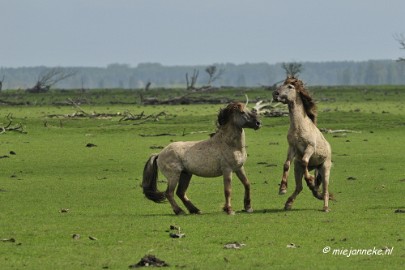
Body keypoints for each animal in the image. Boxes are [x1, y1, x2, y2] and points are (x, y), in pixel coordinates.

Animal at [272, 76, 332, 213]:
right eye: (282, 84)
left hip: (325, 168)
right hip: (297, 168)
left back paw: (325, 207)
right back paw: (288, 203)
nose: (275, 94)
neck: (299, 126)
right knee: (299, 187)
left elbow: (305, 161)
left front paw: (310, 181)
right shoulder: (292, 147)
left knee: (325, 189)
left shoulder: (309, 148)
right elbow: (286, 164)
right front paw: (282, 188)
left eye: (290, 87)